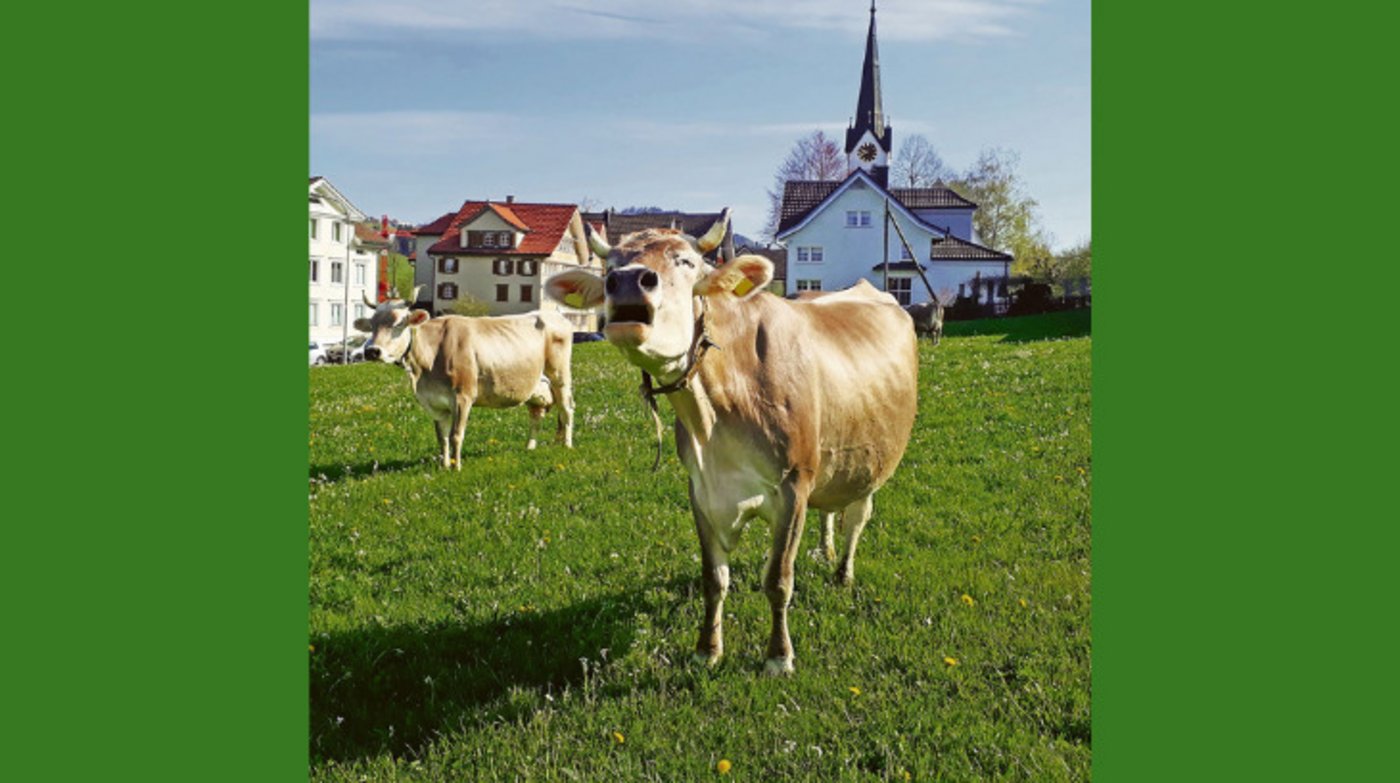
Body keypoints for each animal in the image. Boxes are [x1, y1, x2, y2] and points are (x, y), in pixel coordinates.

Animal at [353, 287, 575, 469]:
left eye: (399, 323)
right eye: (372, 325)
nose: (372, 351)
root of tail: (554, 314)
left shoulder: (463, 396)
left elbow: (455, 435)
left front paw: (456, 467)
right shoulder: (434, 402)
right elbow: (441, 437)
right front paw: (444, 466)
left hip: (560, 375)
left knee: (566, 408)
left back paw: (567, 445)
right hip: (536, 386)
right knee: (537, 414)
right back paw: (530, 446)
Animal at [544, 212, 918, 675]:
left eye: (685, 262)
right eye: (610, 267)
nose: (628, 280)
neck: (717, 416)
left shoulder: (794, 484)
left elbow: (778, 580)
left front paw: (778, 656)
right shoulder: (703, 489)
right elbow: (714, 579)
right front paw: (708, 648)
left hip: (872, 464)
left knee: (857, 518)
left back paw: (843, 572)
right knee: (830, 510)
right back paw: (824, 550)